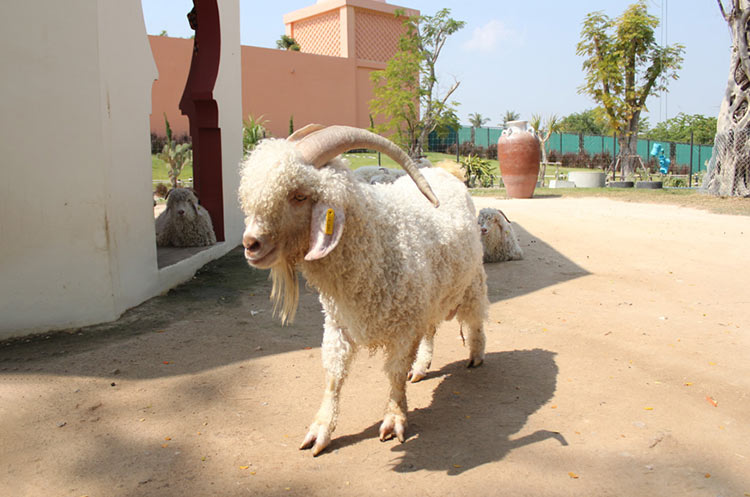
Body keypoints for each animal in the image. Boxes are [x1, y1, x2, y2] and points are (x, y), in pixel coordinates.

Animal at [238, 123, 490, 454]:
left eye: (299, 195)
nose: (250, 244)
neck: (379, 241)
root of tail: (449, 172)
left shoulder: (404, 326)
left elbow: (395, 373)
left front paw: (394, 419)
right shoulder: (338, 323)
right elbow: (334, 375)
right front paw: (320, 430)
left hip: (471, 280)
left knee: (475, 318)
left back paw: (476, 355)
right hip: (430, 298)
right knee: (432, 329)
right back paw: (422, 367)